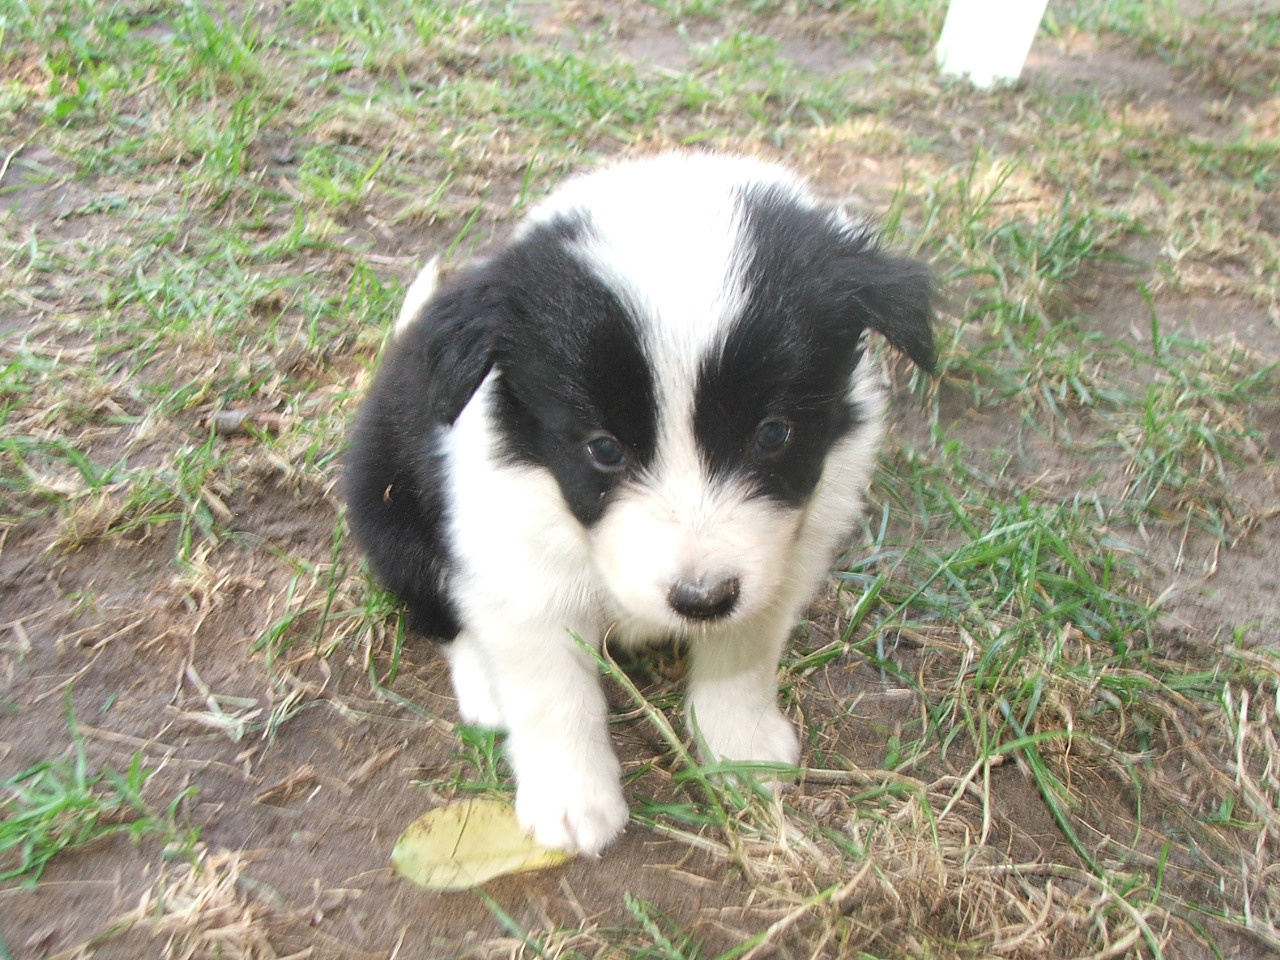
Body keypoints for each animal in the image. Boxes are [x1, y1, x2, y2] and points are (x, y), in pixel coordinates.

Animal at [345, 150, 936, 855]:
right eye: (604, 448)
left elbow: (745, 650)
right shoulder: (516, 557)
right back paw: (484, 683)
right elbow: (553, 687)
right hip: (388, 510)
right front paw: (573, 800)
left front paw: (737, 747)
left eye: (772, 434)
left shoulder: (784, 555)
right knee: (439, 609)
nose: (701, 600)